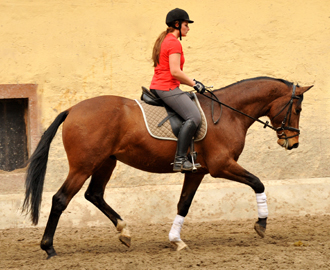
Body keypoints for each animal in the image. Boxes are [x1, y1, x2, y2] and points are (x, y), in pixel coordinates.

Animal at [22, 77, 312, 258]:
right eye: (297, 109)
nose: (293, 142)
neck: (229, 113)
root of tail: (72, 110)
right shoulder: (221, 166)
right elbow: (258, 182)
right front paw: (261, 224)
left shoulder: (197, 171)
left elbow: (183, 204)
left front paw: (176, 240)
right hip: (84, 165)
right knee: (61, 199)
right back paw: (49, 248)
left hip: (106, 162)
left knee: (94, 194)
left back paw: (124, 232)